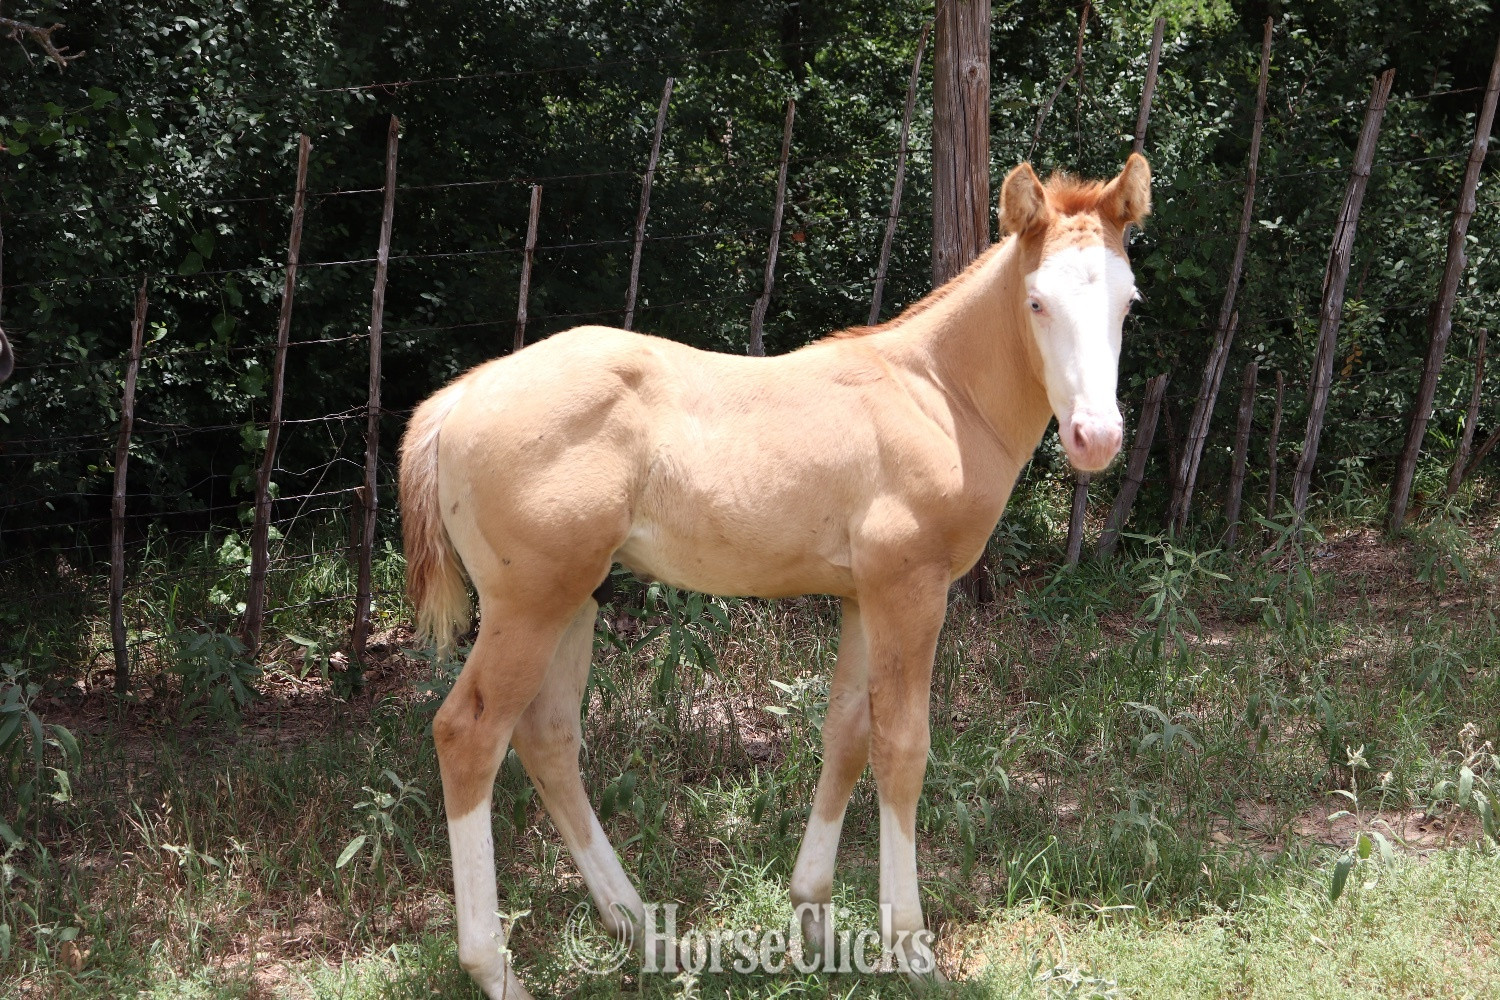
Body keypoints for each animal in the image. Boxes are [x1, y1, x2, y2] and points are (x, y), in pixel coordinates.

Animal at [398, 154, 1149, 998]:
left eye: (1128, 302)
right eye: (1037, 301)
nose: (1096, 437)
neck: (936, 395)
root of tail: (463, 394)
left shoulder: (863, 596)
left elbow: (846, 734)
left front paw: (814, 916)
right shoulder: (911, 589)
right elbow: (902, 747)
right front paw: (909, 945)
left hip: (574, 600)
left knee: (548, 737)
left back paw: (639, 925)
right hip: (528, 603)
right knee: (470, 735)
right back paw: (496, 966)